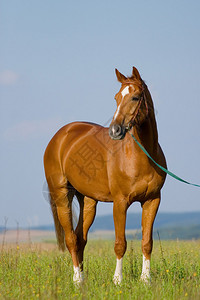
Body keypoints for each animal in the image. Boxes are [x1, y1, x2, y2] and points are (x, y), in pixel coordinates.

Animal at [44, 67, 167, 284]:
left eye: (135, 97)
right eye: (116, 97)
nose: (115, 130)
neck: (142, 156)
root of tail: (60, 136)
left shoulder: (152, 200)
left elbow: (147, 242)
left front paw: (146, 280)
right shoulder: (120, 202)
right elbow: (120, 243)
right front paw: (118, 280)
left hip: (88, 200)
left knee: (80, 238)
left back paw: (82, 278)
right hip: (61, 196)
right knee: (70, 239)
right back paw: (77, 280)